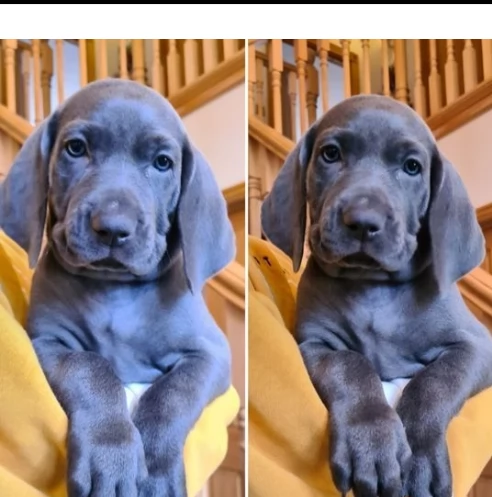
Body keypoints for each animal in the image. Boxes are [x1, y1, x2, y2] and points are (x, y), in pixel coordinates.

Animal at [0, 78, 236, 496]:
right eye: (76, 148)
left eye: (163, 162)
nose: (112, 227)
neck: (115, 291)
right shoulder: (46, 342)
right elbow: (90, 369)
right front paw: (110, 455)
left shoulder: (211, 353)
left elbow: (171, 394)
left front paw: (156, 470)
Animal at [264, 95, 492, 496]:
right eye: (331, 154)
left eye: (412, 167)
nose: (362, 220)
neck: (373, 287)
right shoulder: (315, 344)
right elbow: (351, 366)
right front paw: (371, 443)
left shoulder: (477, 344)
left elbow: (434, 381)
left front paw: (419, 458)